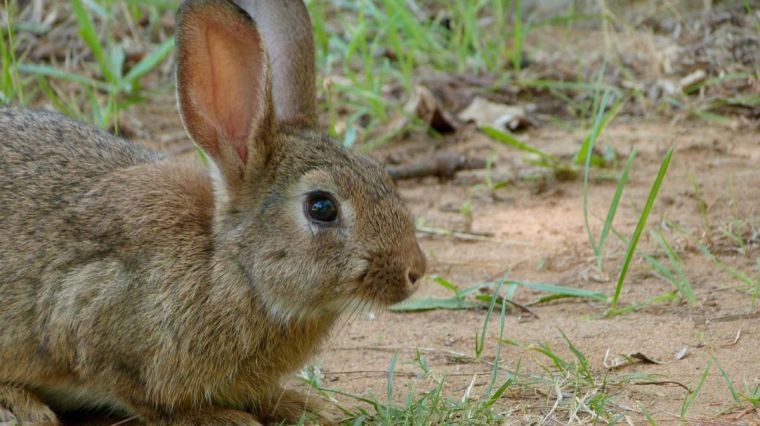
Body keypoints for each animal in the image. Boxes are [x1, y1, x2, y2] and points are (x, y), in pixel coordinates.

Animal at [0, 0, 428, 422]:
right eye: (321, 207)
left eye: (379, 171)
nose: (415, 270)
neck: (232, 267)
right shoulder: (88, 314)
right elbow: (146, 399)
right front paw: (223, 417)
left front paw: (301, 405)